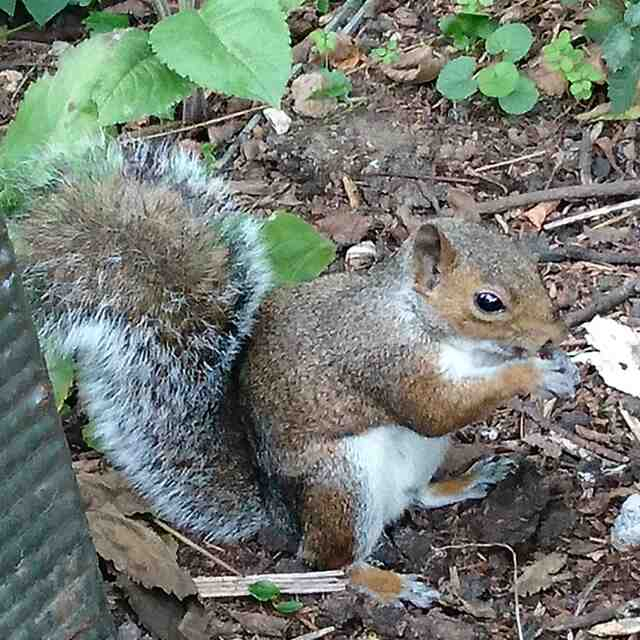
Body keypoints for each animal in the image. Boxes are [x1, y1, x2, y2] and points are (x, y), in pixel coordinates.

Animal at [12, 140, 580, 604]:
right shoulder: (384, 361)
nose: (554, 333)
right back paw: (387, 583)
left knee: (413, 498)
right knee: (332, 563)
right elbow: (434, 410)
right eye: (488, 302)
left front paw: (555, 365)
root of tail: (279, 518)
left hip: (414, 462)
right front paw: (531, 375)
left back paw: (463, 482)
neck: (426, 322)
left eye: (531, 268)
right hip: (341, 483)